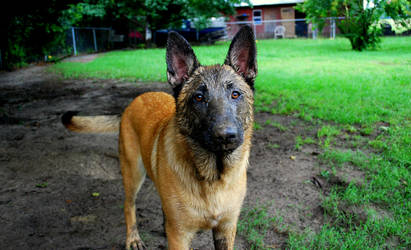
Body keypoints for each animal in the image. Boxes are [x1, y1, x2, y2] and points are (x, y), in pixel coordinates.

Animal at [62, 25, 258, 250]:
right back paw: (133, 238)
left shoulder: (226, 230)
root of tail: (133, 103)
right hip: (133, 174)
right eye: (198, 97)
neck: (212, 177)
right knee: (128, 206)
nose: (225, 135)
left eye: (235, 94)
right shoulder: (180, 236)